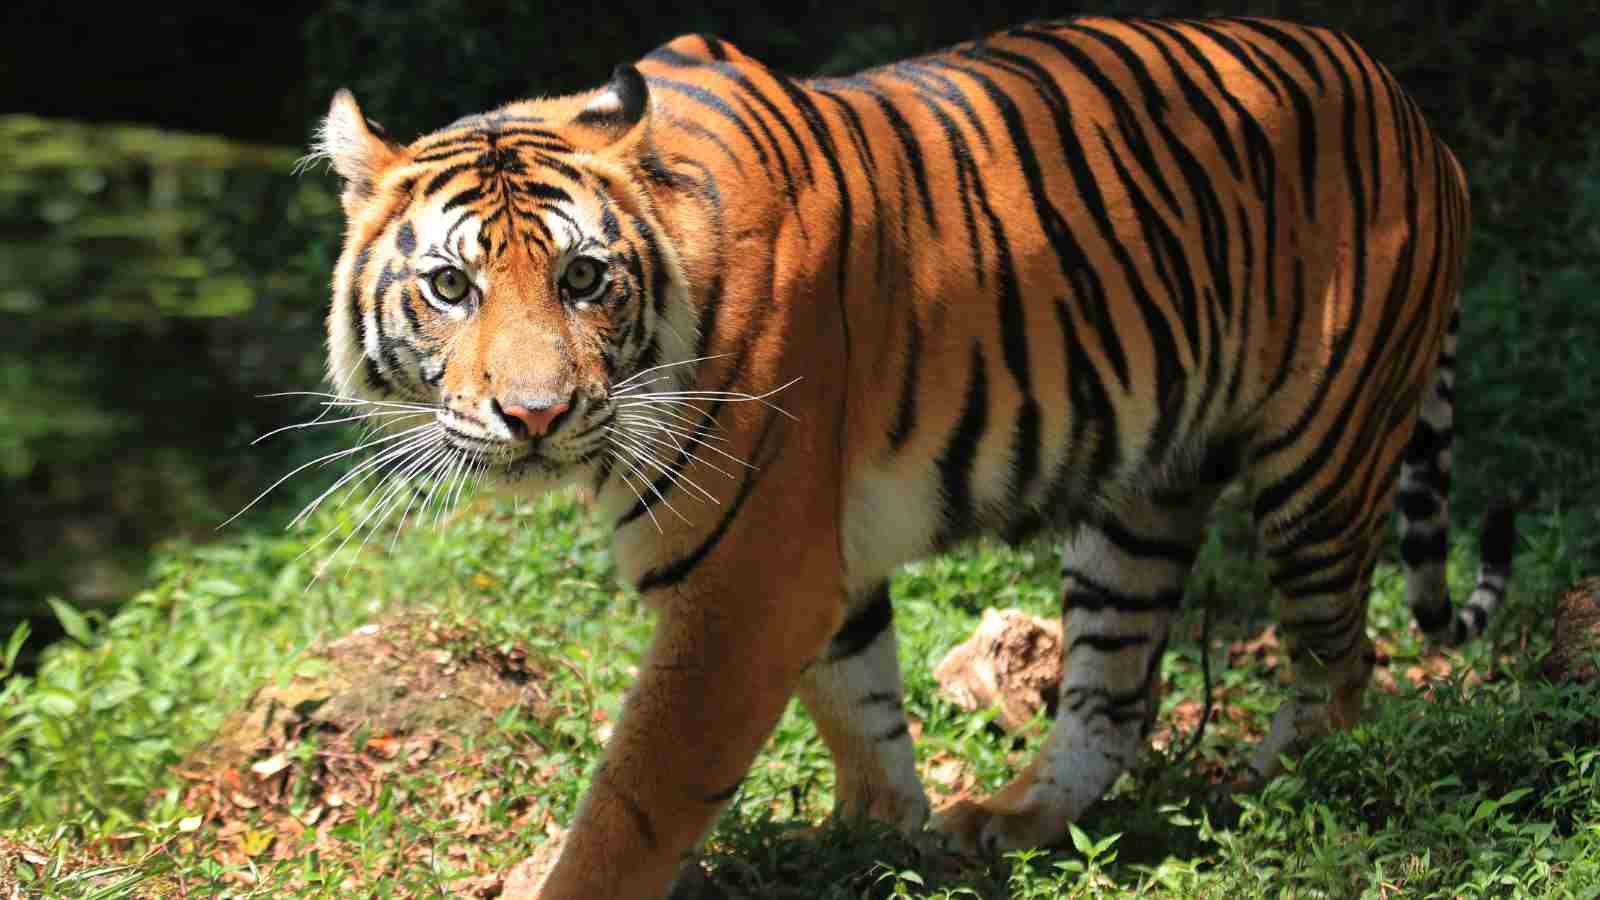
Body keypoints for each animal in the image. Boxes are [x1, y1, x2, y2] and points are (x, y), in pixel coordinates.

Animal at [309, 14, 1519, 899]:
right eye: (451, 286)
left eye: (582, 278)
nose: (535, 415)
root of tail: (1417, 116)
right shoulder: (806, 564)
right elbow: (858, 701)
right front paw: (880, 836)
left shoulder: (748, 581)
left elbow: (638, 795)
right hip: (1141, 501)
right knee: (1114, 696)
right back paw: (1011, 820)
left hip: (1320, 465)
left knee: (1340, 667)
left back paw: (1279, 803)